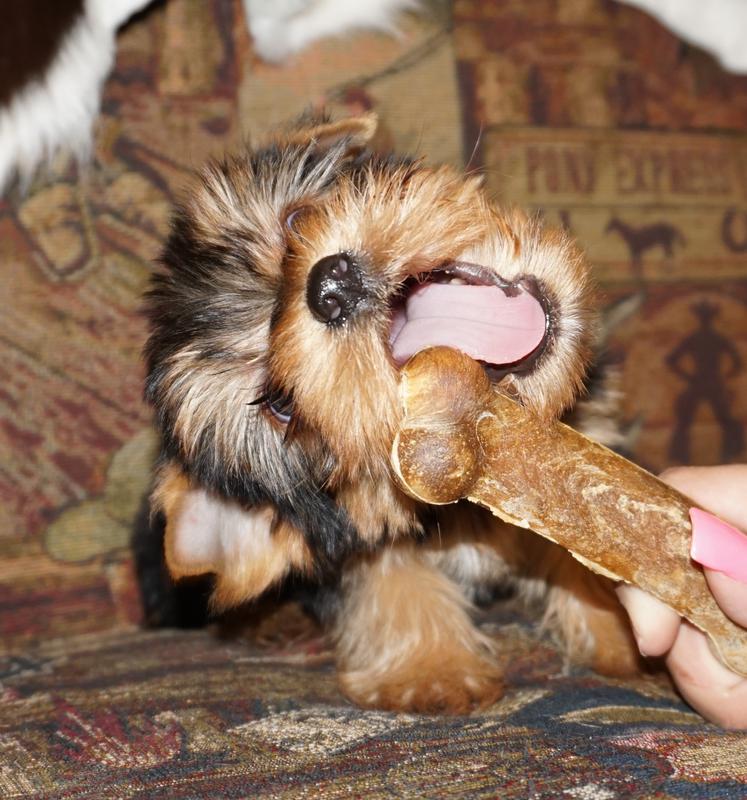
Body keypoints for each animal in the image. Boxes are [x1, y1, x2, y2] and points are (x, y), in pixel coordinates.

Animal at [142, 114, 644, 712]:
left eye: (294, 223)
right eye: (280, 405)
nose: (331, 286)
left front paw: (616, 631)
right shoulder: (354, 542)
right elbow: (388, 580)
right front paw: (433, 670)